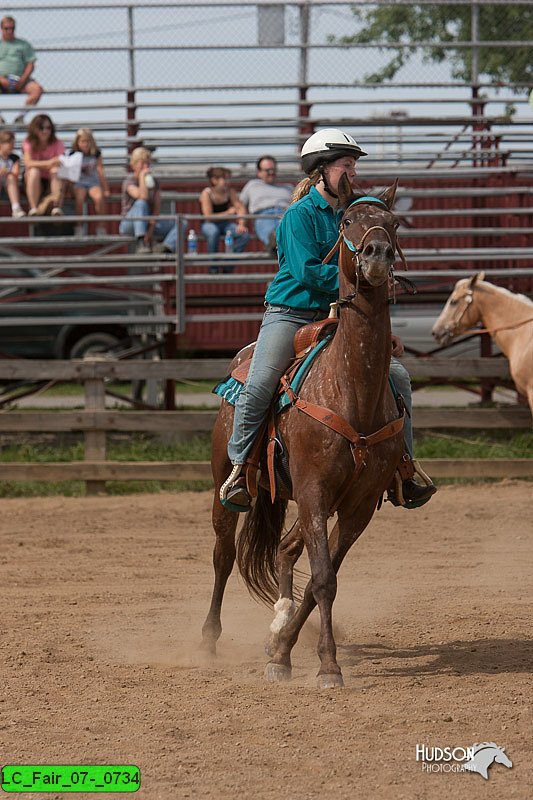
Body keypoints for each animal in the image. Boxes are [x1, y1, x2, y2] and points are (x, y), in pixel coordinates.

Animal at [203, 180, 404, 688]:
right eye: (348, 222)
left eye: (393, 223)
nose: (376, 254)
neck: (349, 387)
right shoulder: (314, 490)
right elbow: (324, 578)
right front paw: (328, 666)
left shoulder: (356, 505)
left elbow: (320, 577)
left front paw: (283, 651)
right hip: (223, 487)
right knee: (223, 554)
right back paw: (209, 640)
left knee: (285, 548)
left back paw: (277, 626)